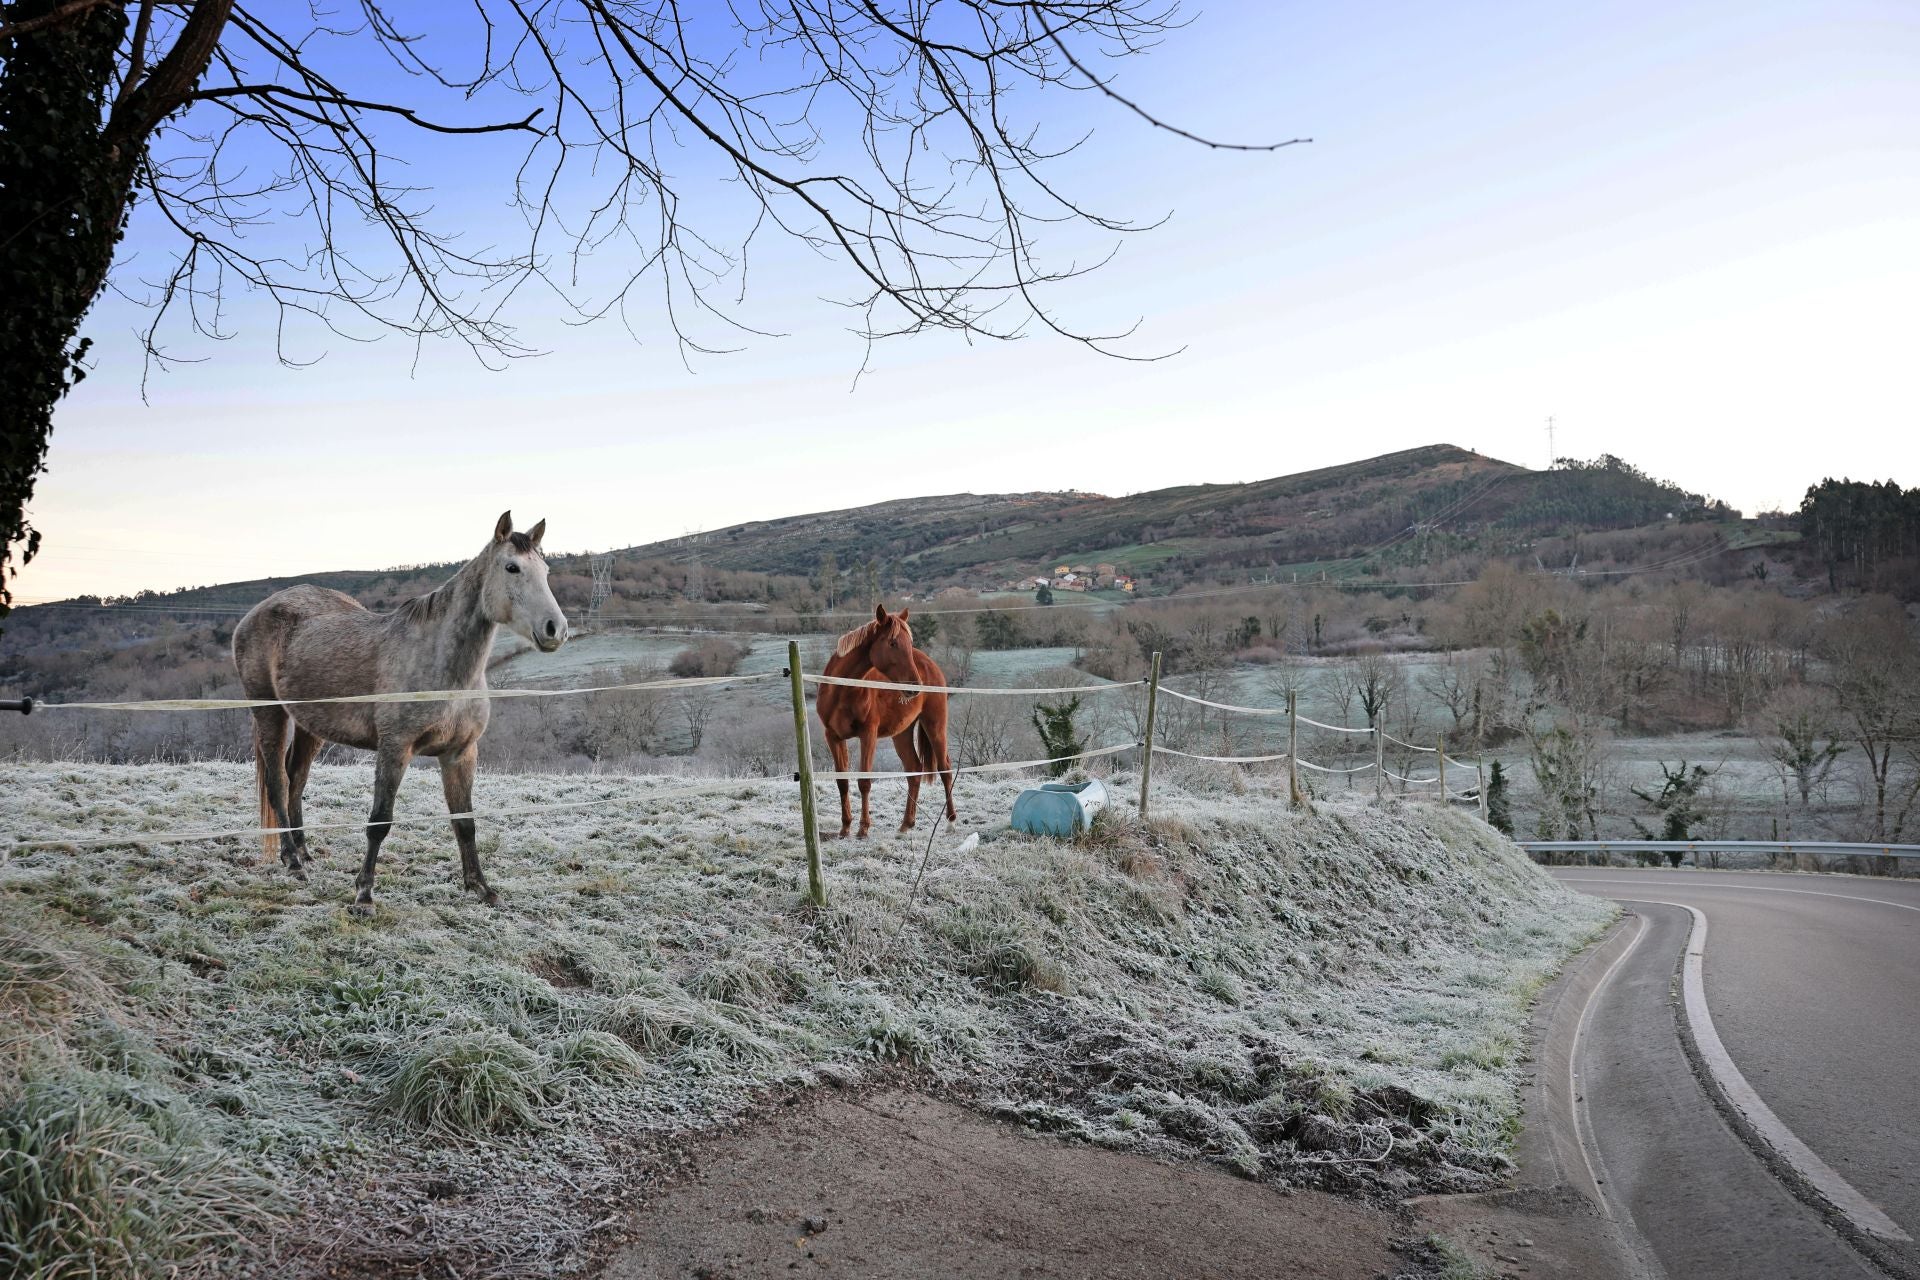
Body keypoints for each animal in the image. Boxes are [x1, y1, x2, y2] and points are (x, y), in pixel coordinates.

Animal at [229, 510, 564, 909]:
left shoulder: (460, 753)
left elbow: (465, 821)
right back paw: (293, 862)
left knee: (297, 780)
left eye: (545, 570)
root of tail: (256, 613)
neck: (444, 668)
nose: (555, 629)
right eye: (512, 567)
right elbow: (380, 820)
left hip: (310, 725)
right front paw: (364, 894)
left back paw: (304, 852)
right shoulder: (394, 749)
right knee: (278, 782)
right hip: (270, 713)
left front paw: (481, 888)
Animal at [814, 602, 956, 840]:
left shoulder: (868, 735)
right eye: (892, 642)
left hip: (935, 726)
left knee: (945, 768)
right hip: (902, 733)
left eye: (909, 643)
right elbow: (842, 782)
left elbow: (864, 782)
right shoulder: (832, 737)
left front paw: (863, 828)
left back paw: (951, 822)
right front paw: (845, 827)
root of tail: (930, 664)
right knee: (914, 770)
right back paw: (906, 824)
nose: (914, 687)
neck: (842, 691)